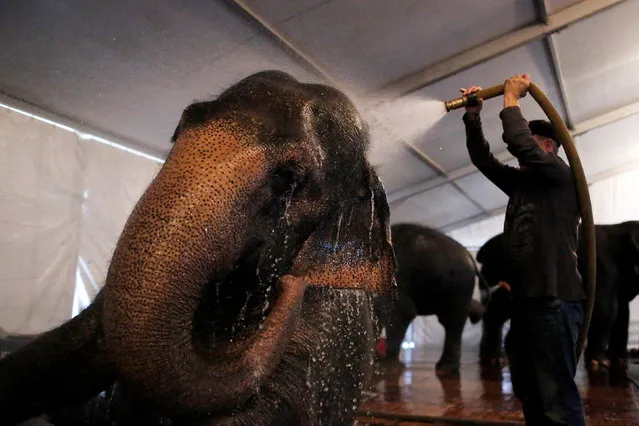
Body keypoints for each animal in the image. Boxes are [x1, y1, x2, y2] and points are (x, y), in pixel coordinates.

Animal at [376, 225, 484, 374]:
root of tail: (468, 254)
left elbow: (402, 312)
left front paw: (384, 368)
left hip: (459, 281)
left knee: (453, 320)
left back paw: (445, 370)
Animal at [478, 221, 636, 374]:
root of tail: (485, 249)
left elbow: (622, 314)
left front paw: (621, 358)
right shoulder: (602, 272)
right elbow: (607, 310)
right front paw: (600, 361)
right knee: (499, 310)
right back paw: (496, 358)